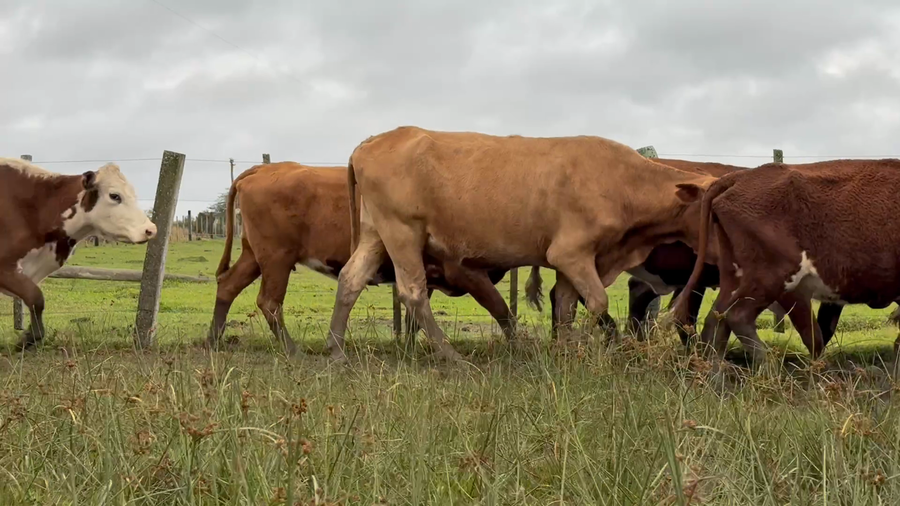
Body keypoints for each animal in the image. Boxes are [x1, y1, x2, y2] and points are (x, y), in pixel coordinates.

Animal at [208, 161, 517, 356]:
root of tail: (265, 169)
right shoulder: (468, 271)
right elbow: (502, 310)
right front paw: (517, 349)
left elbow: (414, 318)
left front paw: (408, 352)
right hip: (276, 259)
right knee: (269, 302)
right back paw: (293, 351)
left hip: (254, 257)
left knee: (228, 286)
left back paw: (213, 341)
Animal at [325, 126, 771, 363]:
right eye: (717, 211)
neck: (624, 183)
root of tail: (373, 141)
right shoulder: (571, 253)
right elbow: (597, 304)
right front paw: (597, 346)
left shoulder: (579, 258)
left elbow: (567, 305)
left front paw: (565, 350)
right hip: (402, 231)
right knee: (414, 291)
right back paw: (451, 355)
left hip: (375, 233)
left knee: (350, 279)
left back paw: (336, 349)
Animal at [671, 158, 900, 365]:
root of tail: (742, 176)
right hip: (774, 275)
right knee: (737, 316)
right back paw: (769, 368)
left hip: (734, 276)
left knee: (716, 319)